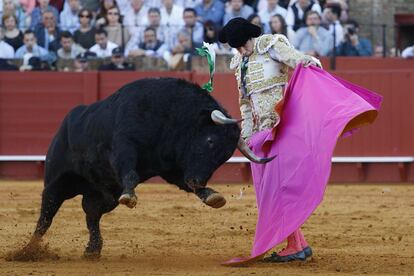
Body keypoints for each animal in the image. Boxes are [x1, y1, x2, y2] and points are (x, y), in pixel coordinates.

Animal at [29, 76, 274, 258]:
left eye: (225, 157)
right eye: (210, 141)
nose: (199, 180)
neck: (169, 116)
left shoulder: (172, 167)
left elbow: (184, 184)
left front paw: (211, 196)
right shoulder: (124, 146)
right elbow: (130, 173)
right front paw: (130, 195)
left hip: (103, 196)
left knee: (91, 216)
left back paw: (92, 250)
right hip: (56, 182)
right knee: (46, 215)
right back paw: (30, 250)